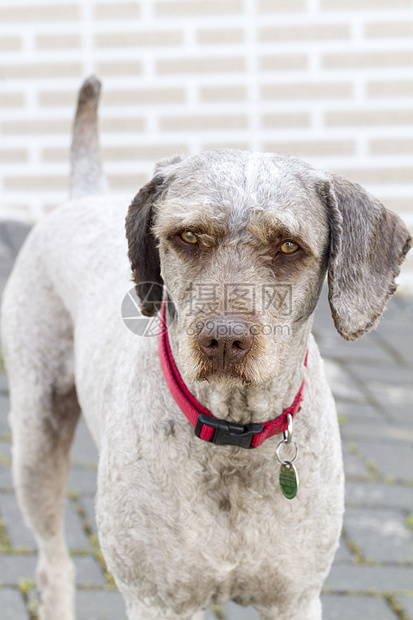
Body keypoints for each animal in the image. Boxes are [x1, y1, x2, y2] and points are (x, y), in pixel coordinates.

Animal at [1, 78, 410, 620]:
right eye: (188, 235)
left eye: (288, 246)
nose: (224, 339)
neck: (234, 434)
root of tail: (83, 194)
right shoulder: (157, 600)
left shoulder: (295, 598)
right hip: (36, 443)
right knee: (54, 567)